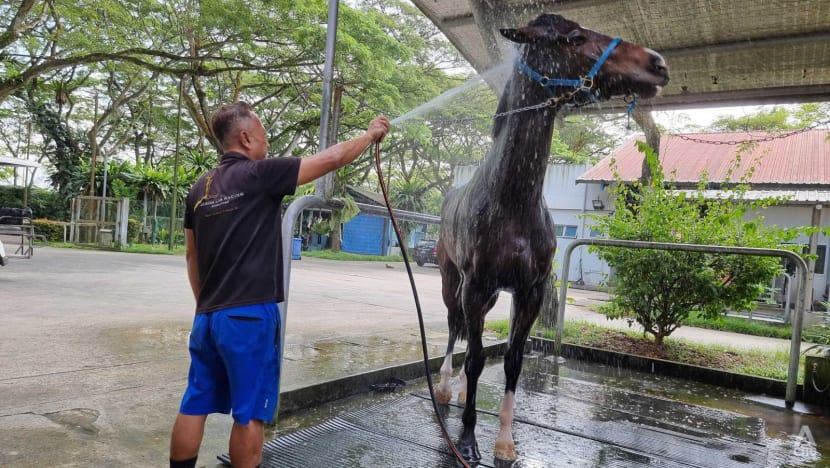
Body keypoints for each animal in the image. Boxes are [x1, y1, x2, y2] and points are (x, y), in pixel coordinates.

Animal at [434, 13, 669, 464]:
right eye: (574, 38)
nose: (658, 63)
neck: (512, 202)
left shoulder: (531, 291)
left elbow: (513, 360)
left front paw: (505, 443)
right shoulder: (475, 287)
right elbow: (475, 359)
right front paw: (469, 440)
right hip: (451, 282)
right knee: (454, 328)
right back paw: (444, 387)